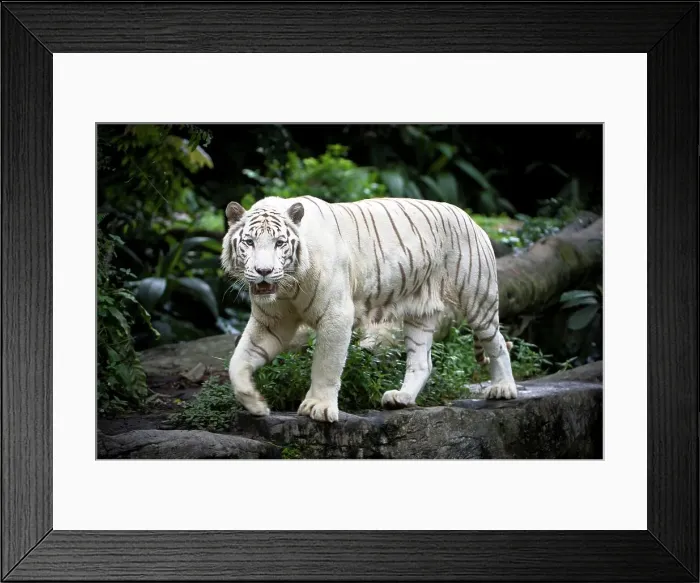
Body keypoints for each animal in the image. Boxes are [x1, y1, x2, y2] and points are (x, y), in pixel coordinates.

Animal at [220, 195, 518, 423]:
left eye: (279, 243)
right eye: (249, 242)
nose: (264, 271)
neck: (288, 287)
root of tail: (471, 218)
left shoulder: (337, 315)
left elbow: (326, 364)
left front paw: (319, 407)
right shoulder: (271, 322)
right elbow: (238, 361)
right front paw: (255, 404)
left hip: (478, 298)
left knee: (498, 343)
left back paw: (503, 388)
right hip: (419, 313)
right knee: (422, 362)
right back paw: (401, 398)